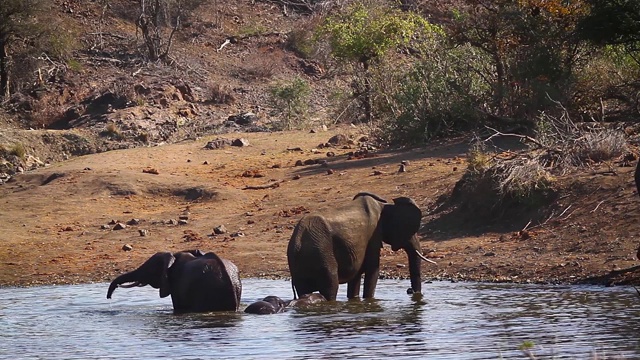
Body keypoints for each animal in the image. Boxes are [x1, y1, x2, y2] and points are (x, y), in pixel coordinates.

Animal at [288, 191, 436, 300]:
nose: (410, 291)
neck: (384, 205)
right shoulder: (373, 235)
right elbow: (373, 269)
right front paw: (369, 300)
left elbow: (356, 276)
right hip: (322, 254)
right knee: (330, 287)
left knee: (304, 289)